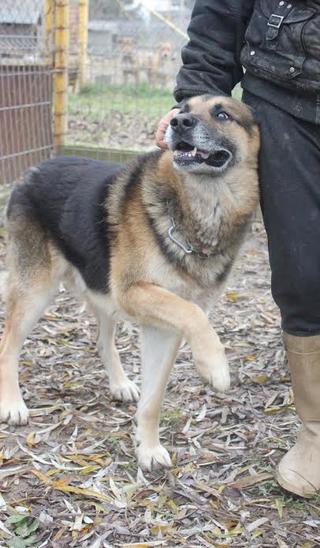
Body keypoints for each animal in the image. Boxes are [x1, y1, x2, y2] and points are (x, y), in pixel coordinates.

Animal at [0, 96, 260, 468]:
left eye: (222, 114)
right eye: (183, 107)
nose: (178, 123)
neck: (201, 205)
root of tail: (34, 169)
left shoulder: (162, 328)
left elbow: (154, 400)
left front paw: (147, 449)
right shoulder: (136, 293)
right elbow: (195, 316)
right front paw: (215, 365)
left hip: (102, 296)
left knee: (102, 342)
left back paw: (120, 383)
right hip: (37, 291)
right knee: (8, 346)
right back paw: (12, 404)